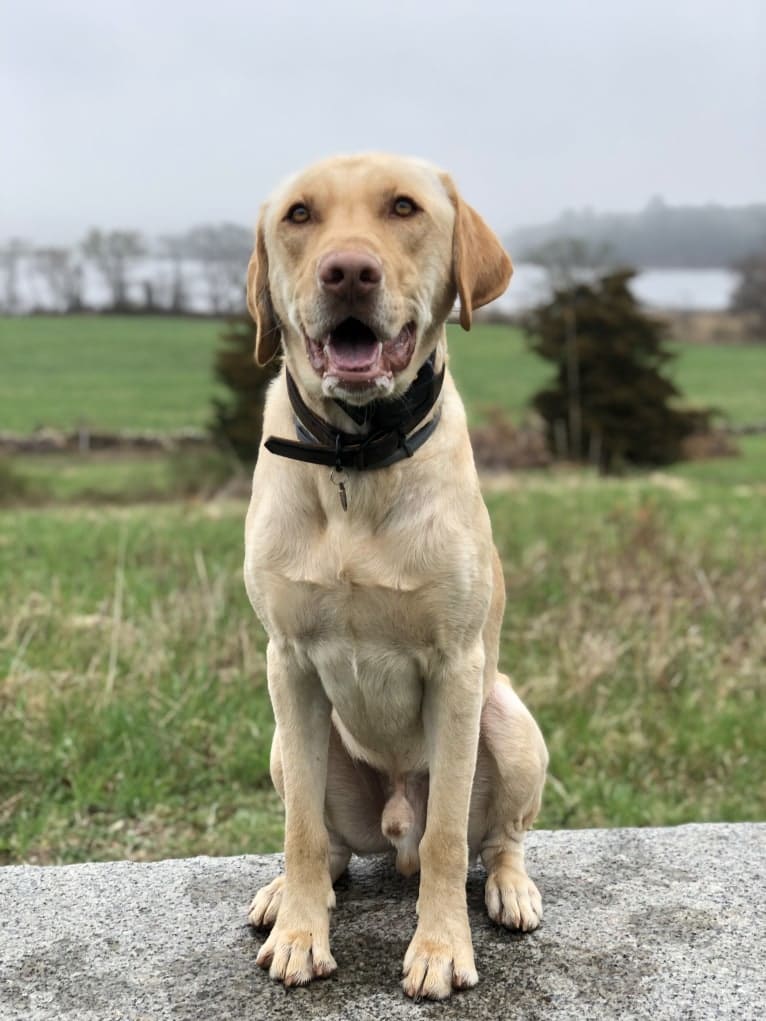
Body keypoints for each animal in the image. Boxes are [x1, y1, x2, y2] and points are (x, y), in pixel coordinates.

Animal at [243, 155, 547, 1000]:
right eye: (300, 215)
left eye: (404, 208)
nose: (348, 271)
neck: (354, 458)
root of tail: (393, 835)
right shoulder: (288, 663)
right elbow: (300, 830)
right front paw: (300, 932)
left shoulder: (456, 667)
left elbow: (447, 837)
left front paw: (441, 946)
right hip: (286, 741)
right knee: (331, 842)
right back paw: (290, 895)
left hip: (508, 720)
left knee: (492, 836)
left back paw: (510, 886)